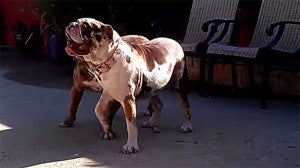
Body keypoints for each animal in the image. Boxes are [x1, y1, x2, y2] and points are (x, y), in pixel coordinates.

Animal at [64, 18, 193, 154]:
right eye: (77, 22)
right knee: (158, 105)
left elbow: (131, 124)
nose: (71, 25)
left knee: (185, 106)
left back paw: (187, 126)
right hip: (150, 89)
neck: (111, 58)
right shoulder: (109, 92)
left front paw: (131, 145)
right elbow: (98, 109)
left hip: (179, 84)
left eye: (85, 26)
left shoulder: (127, 99)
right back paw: (151, 123)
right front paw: (106, 128)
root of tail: (174, 41)